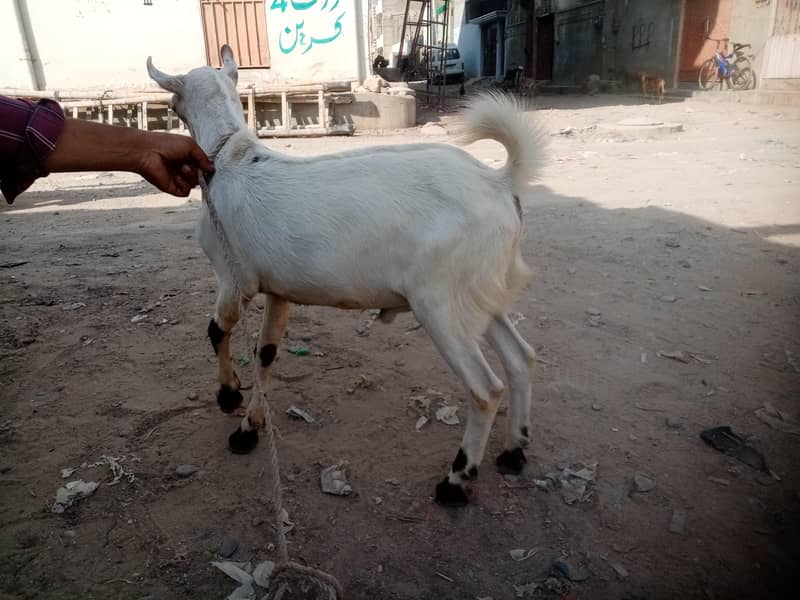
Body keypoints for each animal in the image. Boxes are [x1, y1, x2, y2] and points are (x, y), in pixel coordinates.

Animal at [147, 45, 544, 506]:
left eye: (173, 102)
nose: (170, 111)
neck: (231, 158)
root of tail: (499, 181)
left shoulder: (234, 279)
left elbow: (216, 331)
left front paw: (228, 397)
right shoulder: (279, 290)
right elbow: (266, 354)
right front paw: (250, 426)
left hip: (440, 303)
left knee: (485, 390)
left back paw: (456, 480)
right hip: (480, 293)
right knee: (521, 358)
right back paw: (515, 450)